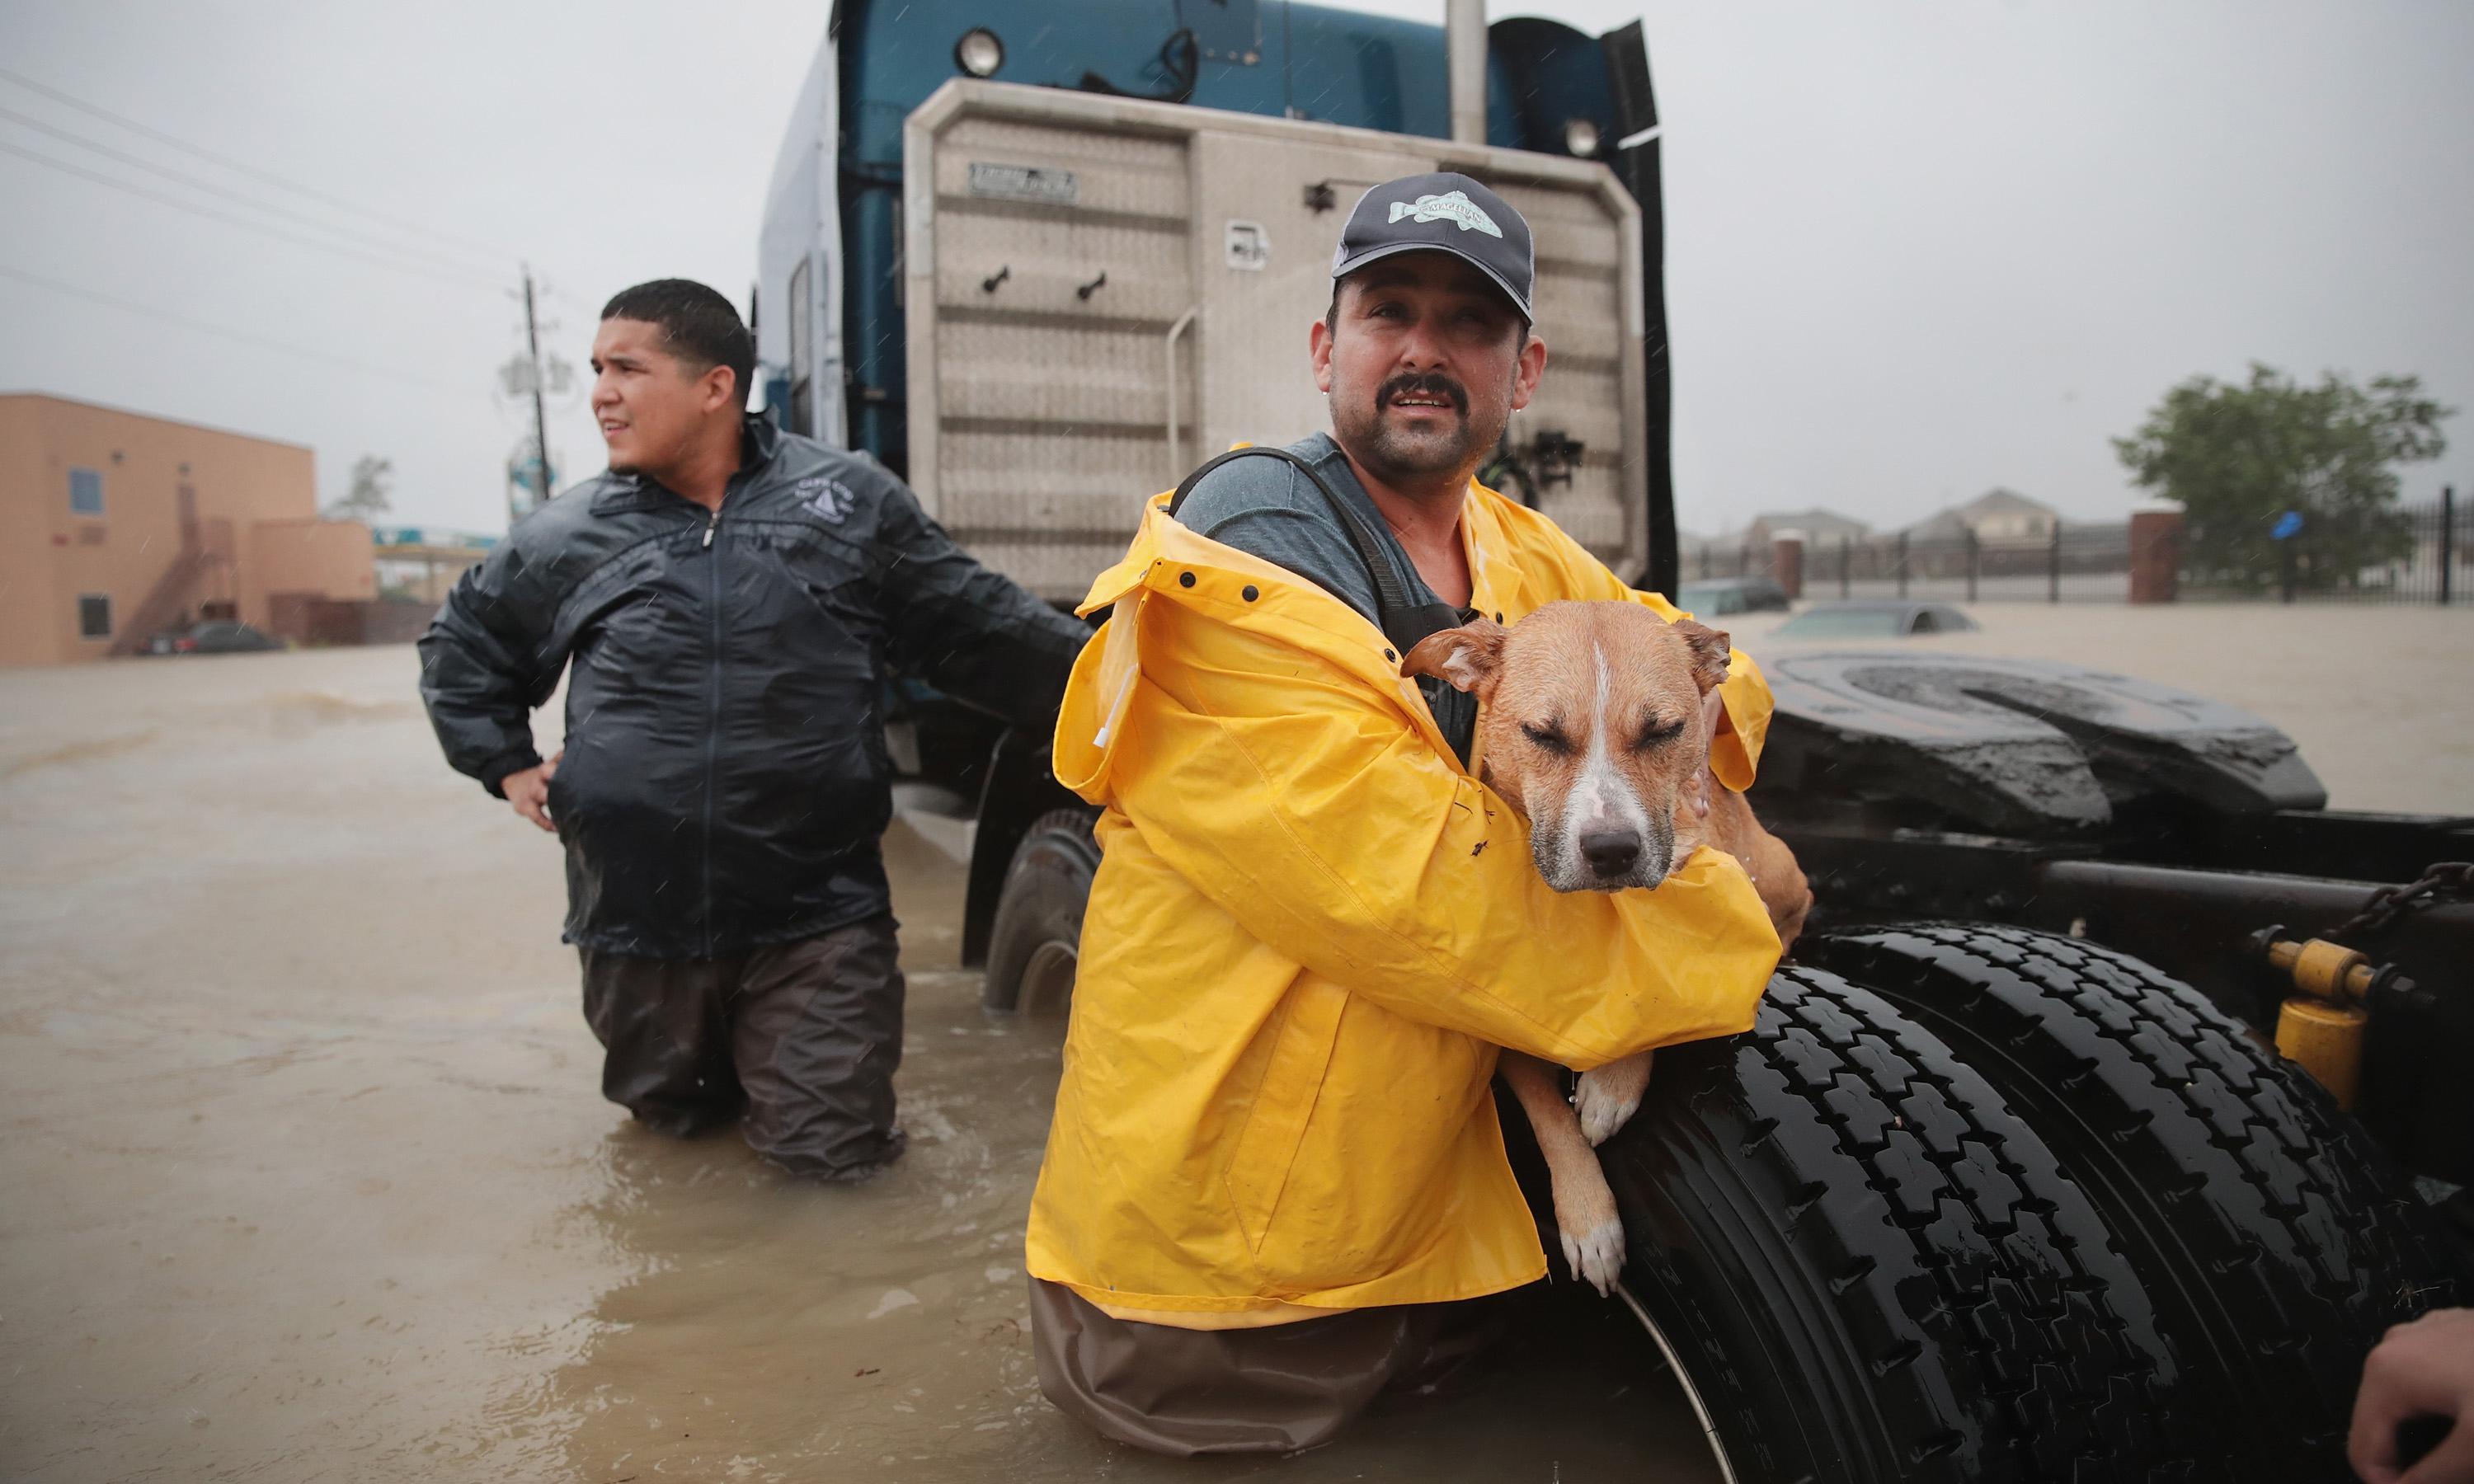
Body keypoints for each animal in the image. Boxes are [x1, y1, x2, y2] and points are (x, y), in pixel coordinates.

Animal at [1405, 596, 1811, 1296]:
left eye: (1664, 731)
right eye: (1542, 734)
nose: (1613, 850)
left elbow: (1665, 988)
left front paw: (1612, 1085)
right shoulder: (1505, 1037)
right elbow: (1548, 1114)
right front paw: (1588, 1220)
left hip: (1777, 868)